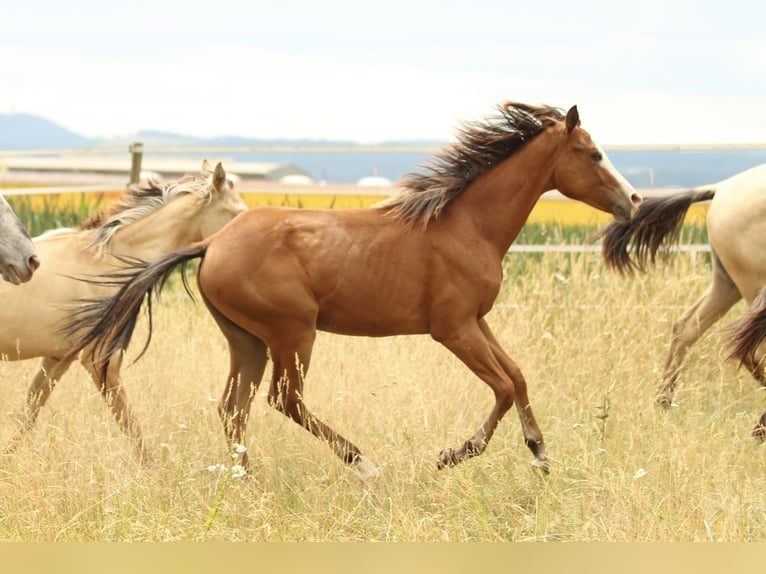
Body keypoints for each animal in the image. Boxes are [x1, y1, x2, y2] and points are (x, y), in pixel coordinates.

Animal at [3, 160, 246, 459]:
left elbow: (30, 411)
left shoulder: (58, 358)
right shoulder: (99, 360)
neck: (104, 263)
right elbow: (129, 423)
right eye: (238, 213)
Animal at [66, 102, 642, 479]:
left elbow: (518, 376)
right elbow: (501, 387)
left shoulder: (477, 321)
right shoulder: (452, 329)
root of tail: (211, 243)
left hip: (246, 340)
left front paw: (540, 453)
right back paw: (364, 464)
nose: (633, 199)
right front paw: (452, 455)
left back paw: (246, 482)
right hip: (292, 333)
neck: (466, 226)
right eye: (593, 154)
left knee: (234, 408)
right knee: (284, 400)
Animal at [598, 162, 766, 438]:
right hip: (748, 285)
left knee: (685, 329)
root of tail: (722, 188)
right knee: (753, 348)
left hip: (727, 284)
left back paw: (663, 403)